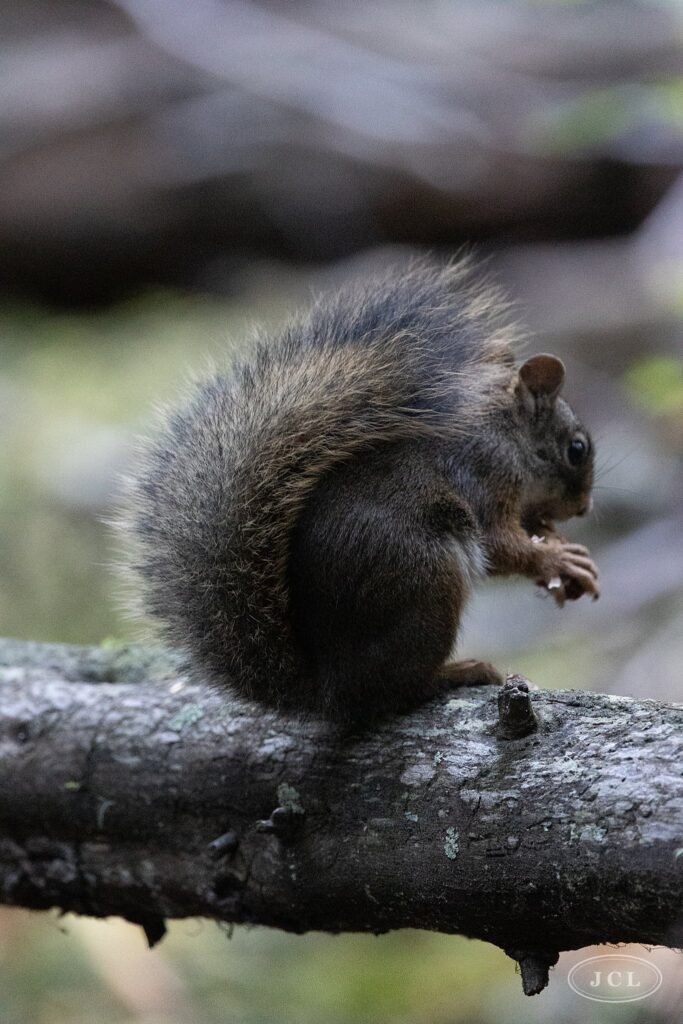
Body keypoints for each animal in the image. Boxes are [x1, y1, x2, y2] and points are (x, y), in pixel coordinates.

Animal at [117, 257, 599, 724]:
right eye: (577, 449)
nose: (582, 508)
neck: (505, 432)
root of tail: (325, 692)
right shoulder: (484, 477)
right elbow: (499, 545)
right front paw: (555, 559)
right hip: (426, 579)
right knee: (389, 692)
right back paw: (457, 672)